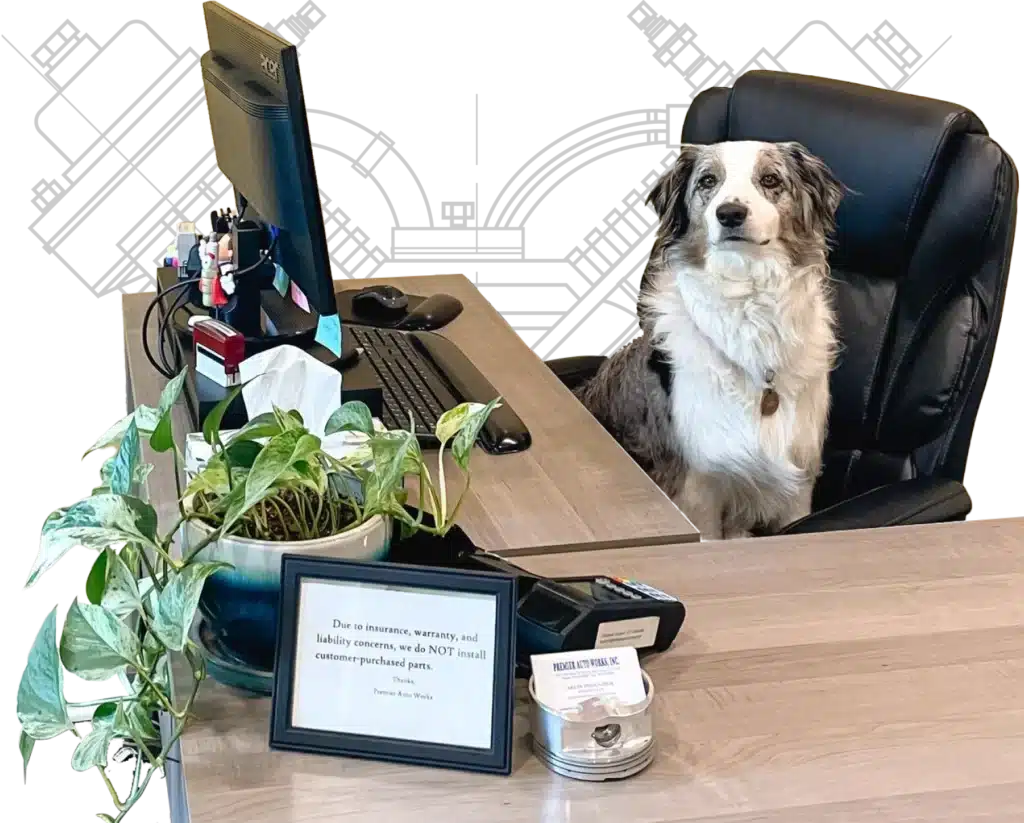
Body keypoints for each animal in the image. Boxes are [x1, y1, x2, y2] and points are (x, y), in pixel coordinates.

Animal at [581, 141, 843, 540]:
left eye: (770, 179)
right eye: (708, 181)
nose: (730, 213)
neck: (748, 304)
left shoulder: (799, 483)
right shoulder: (698, 487)